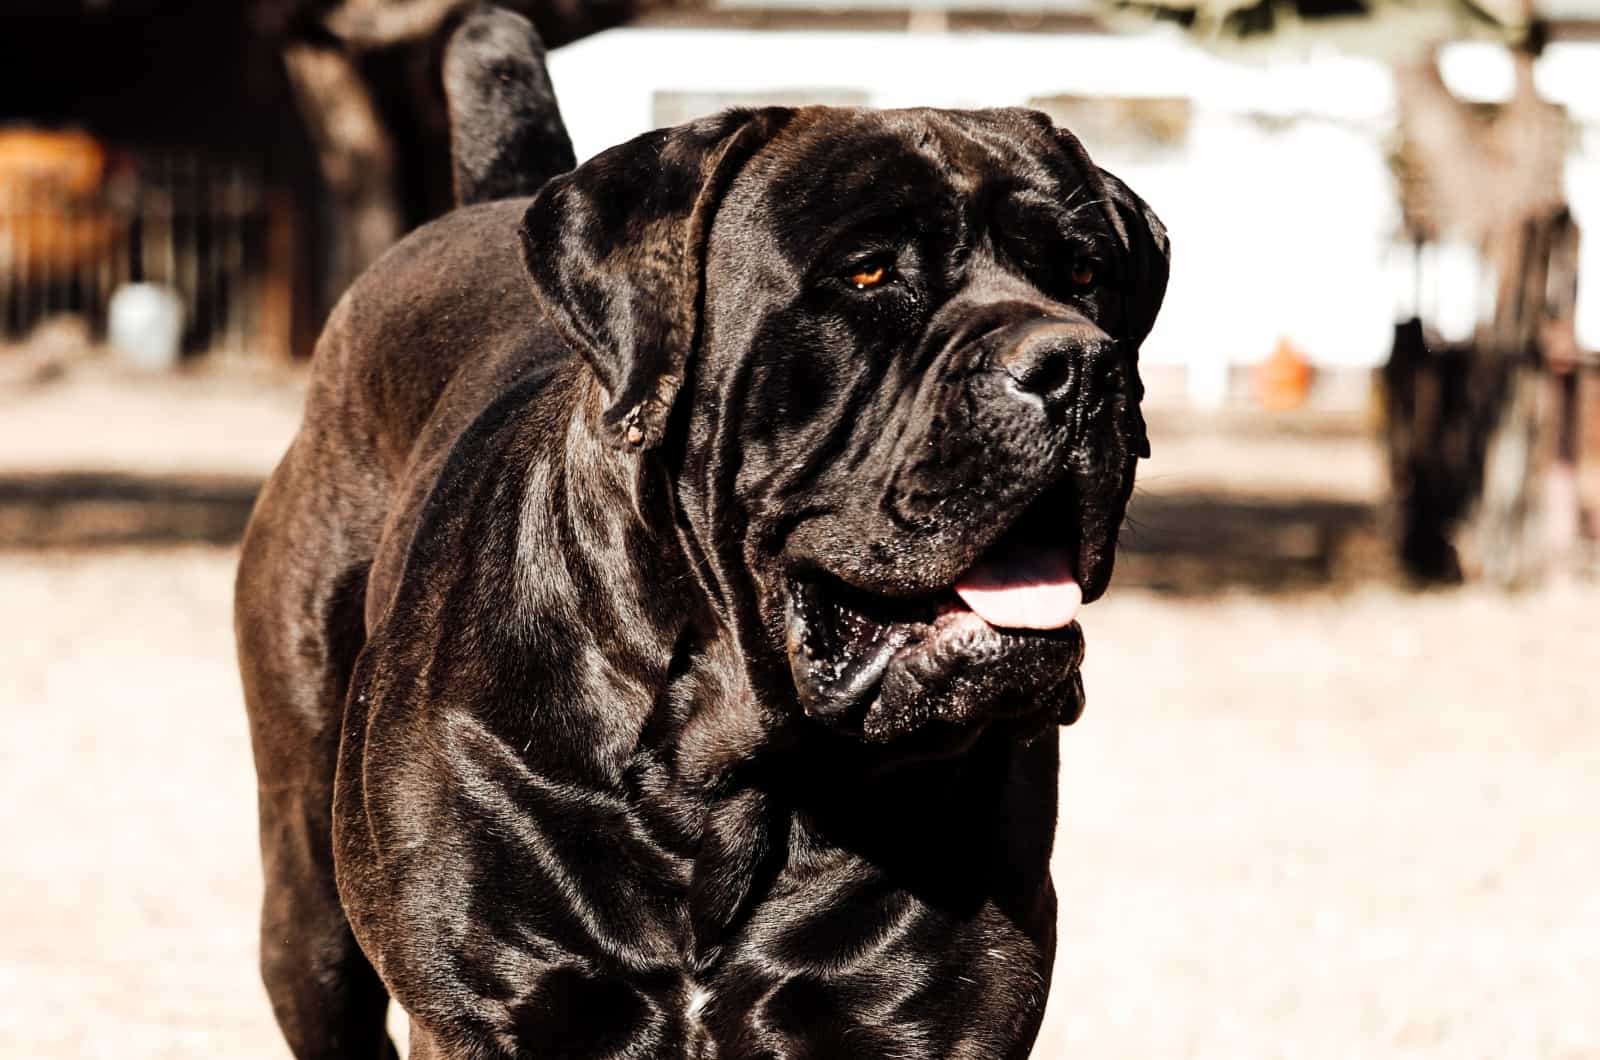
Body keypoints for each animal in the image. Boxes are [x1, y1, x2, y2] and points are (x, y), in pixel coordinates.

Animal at [233, 10, 1164, 1060]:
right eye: (869, 271)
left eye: (1086, 273)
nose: (1079, 364)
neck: (732, 773)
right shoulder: (482, 1007)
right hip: (307, 908)